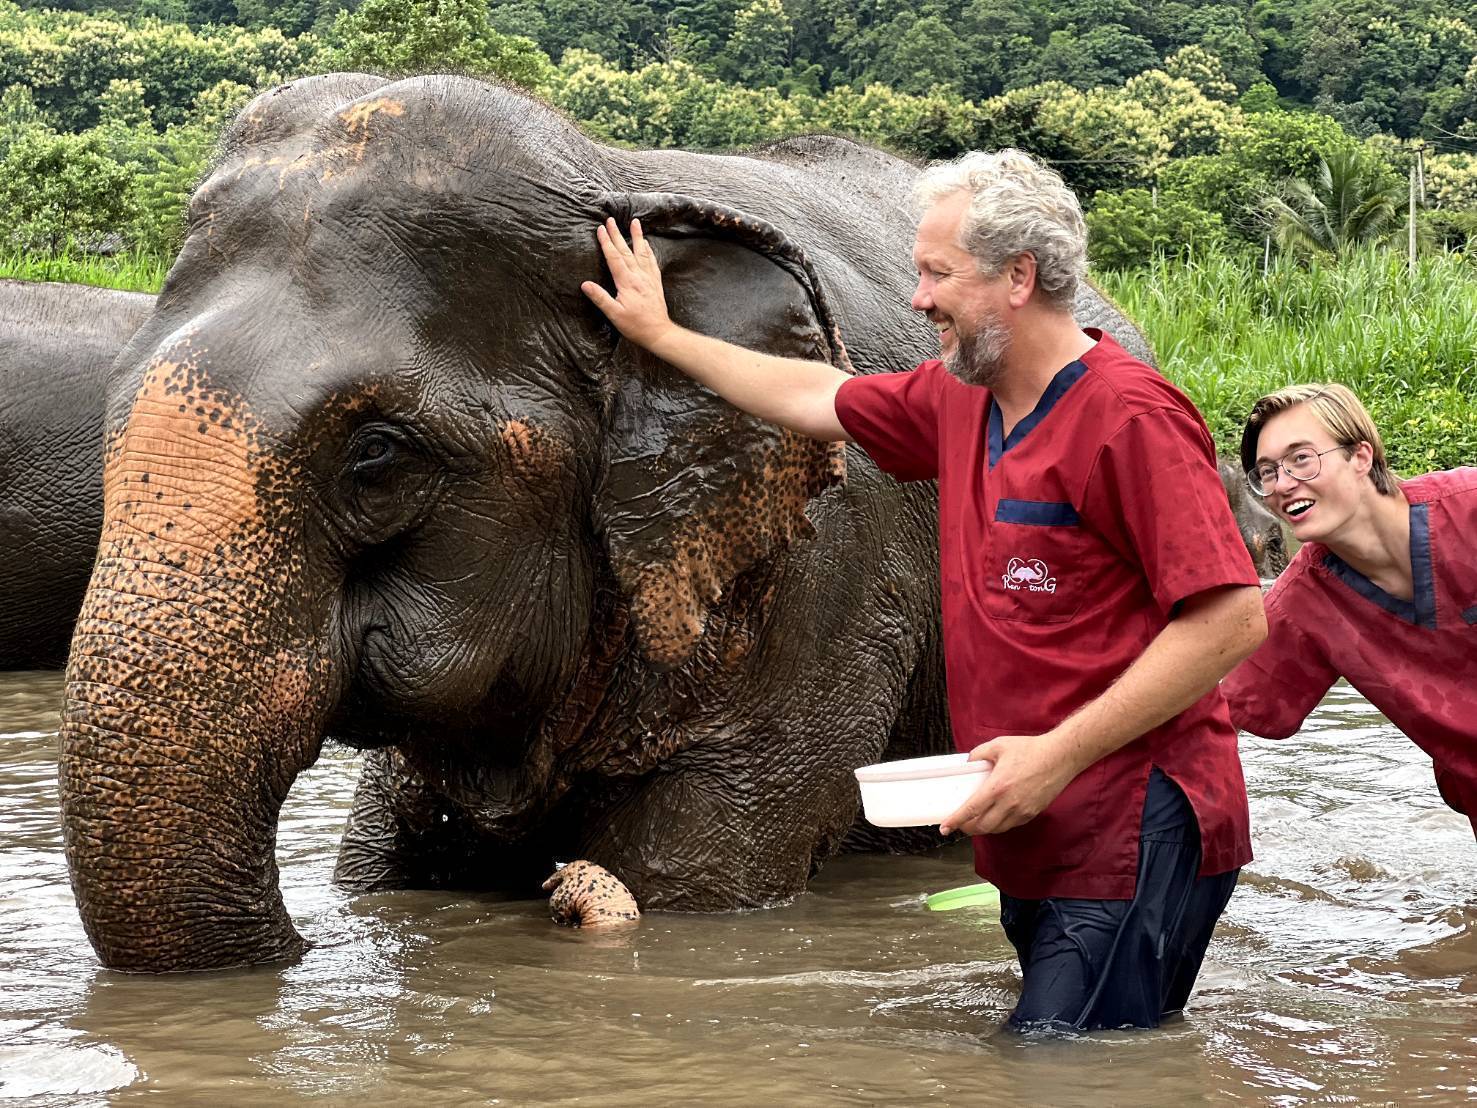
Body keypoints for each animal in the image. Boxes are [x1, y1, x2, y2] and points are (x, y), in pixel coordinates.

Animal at [54, 73, 1222, 975]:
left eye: (376, 455)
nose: (303, 945)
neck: (605, 177)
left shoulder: (832, 579)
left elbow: (692, 877)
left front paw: (598, 895)